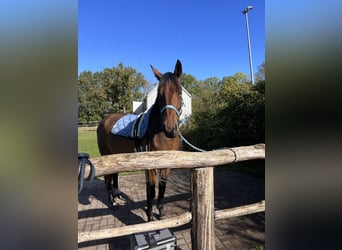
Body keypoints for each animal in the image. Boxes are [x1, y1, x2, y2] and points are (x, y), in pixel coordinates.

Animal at [96, 60, 183, 221]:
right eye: (159, 93)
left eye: (179, 92)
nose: (170, 128)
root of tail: (104, 120)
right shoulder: (150, 167)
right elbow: (151, 191)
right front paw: (150, 217)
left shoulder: (167, 165)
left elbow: (162, 188)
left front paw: (161, 212)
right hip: (105, 156)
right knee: (107, 179)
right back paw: (112, 203)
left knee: (114, 176)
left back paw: (117, 196)